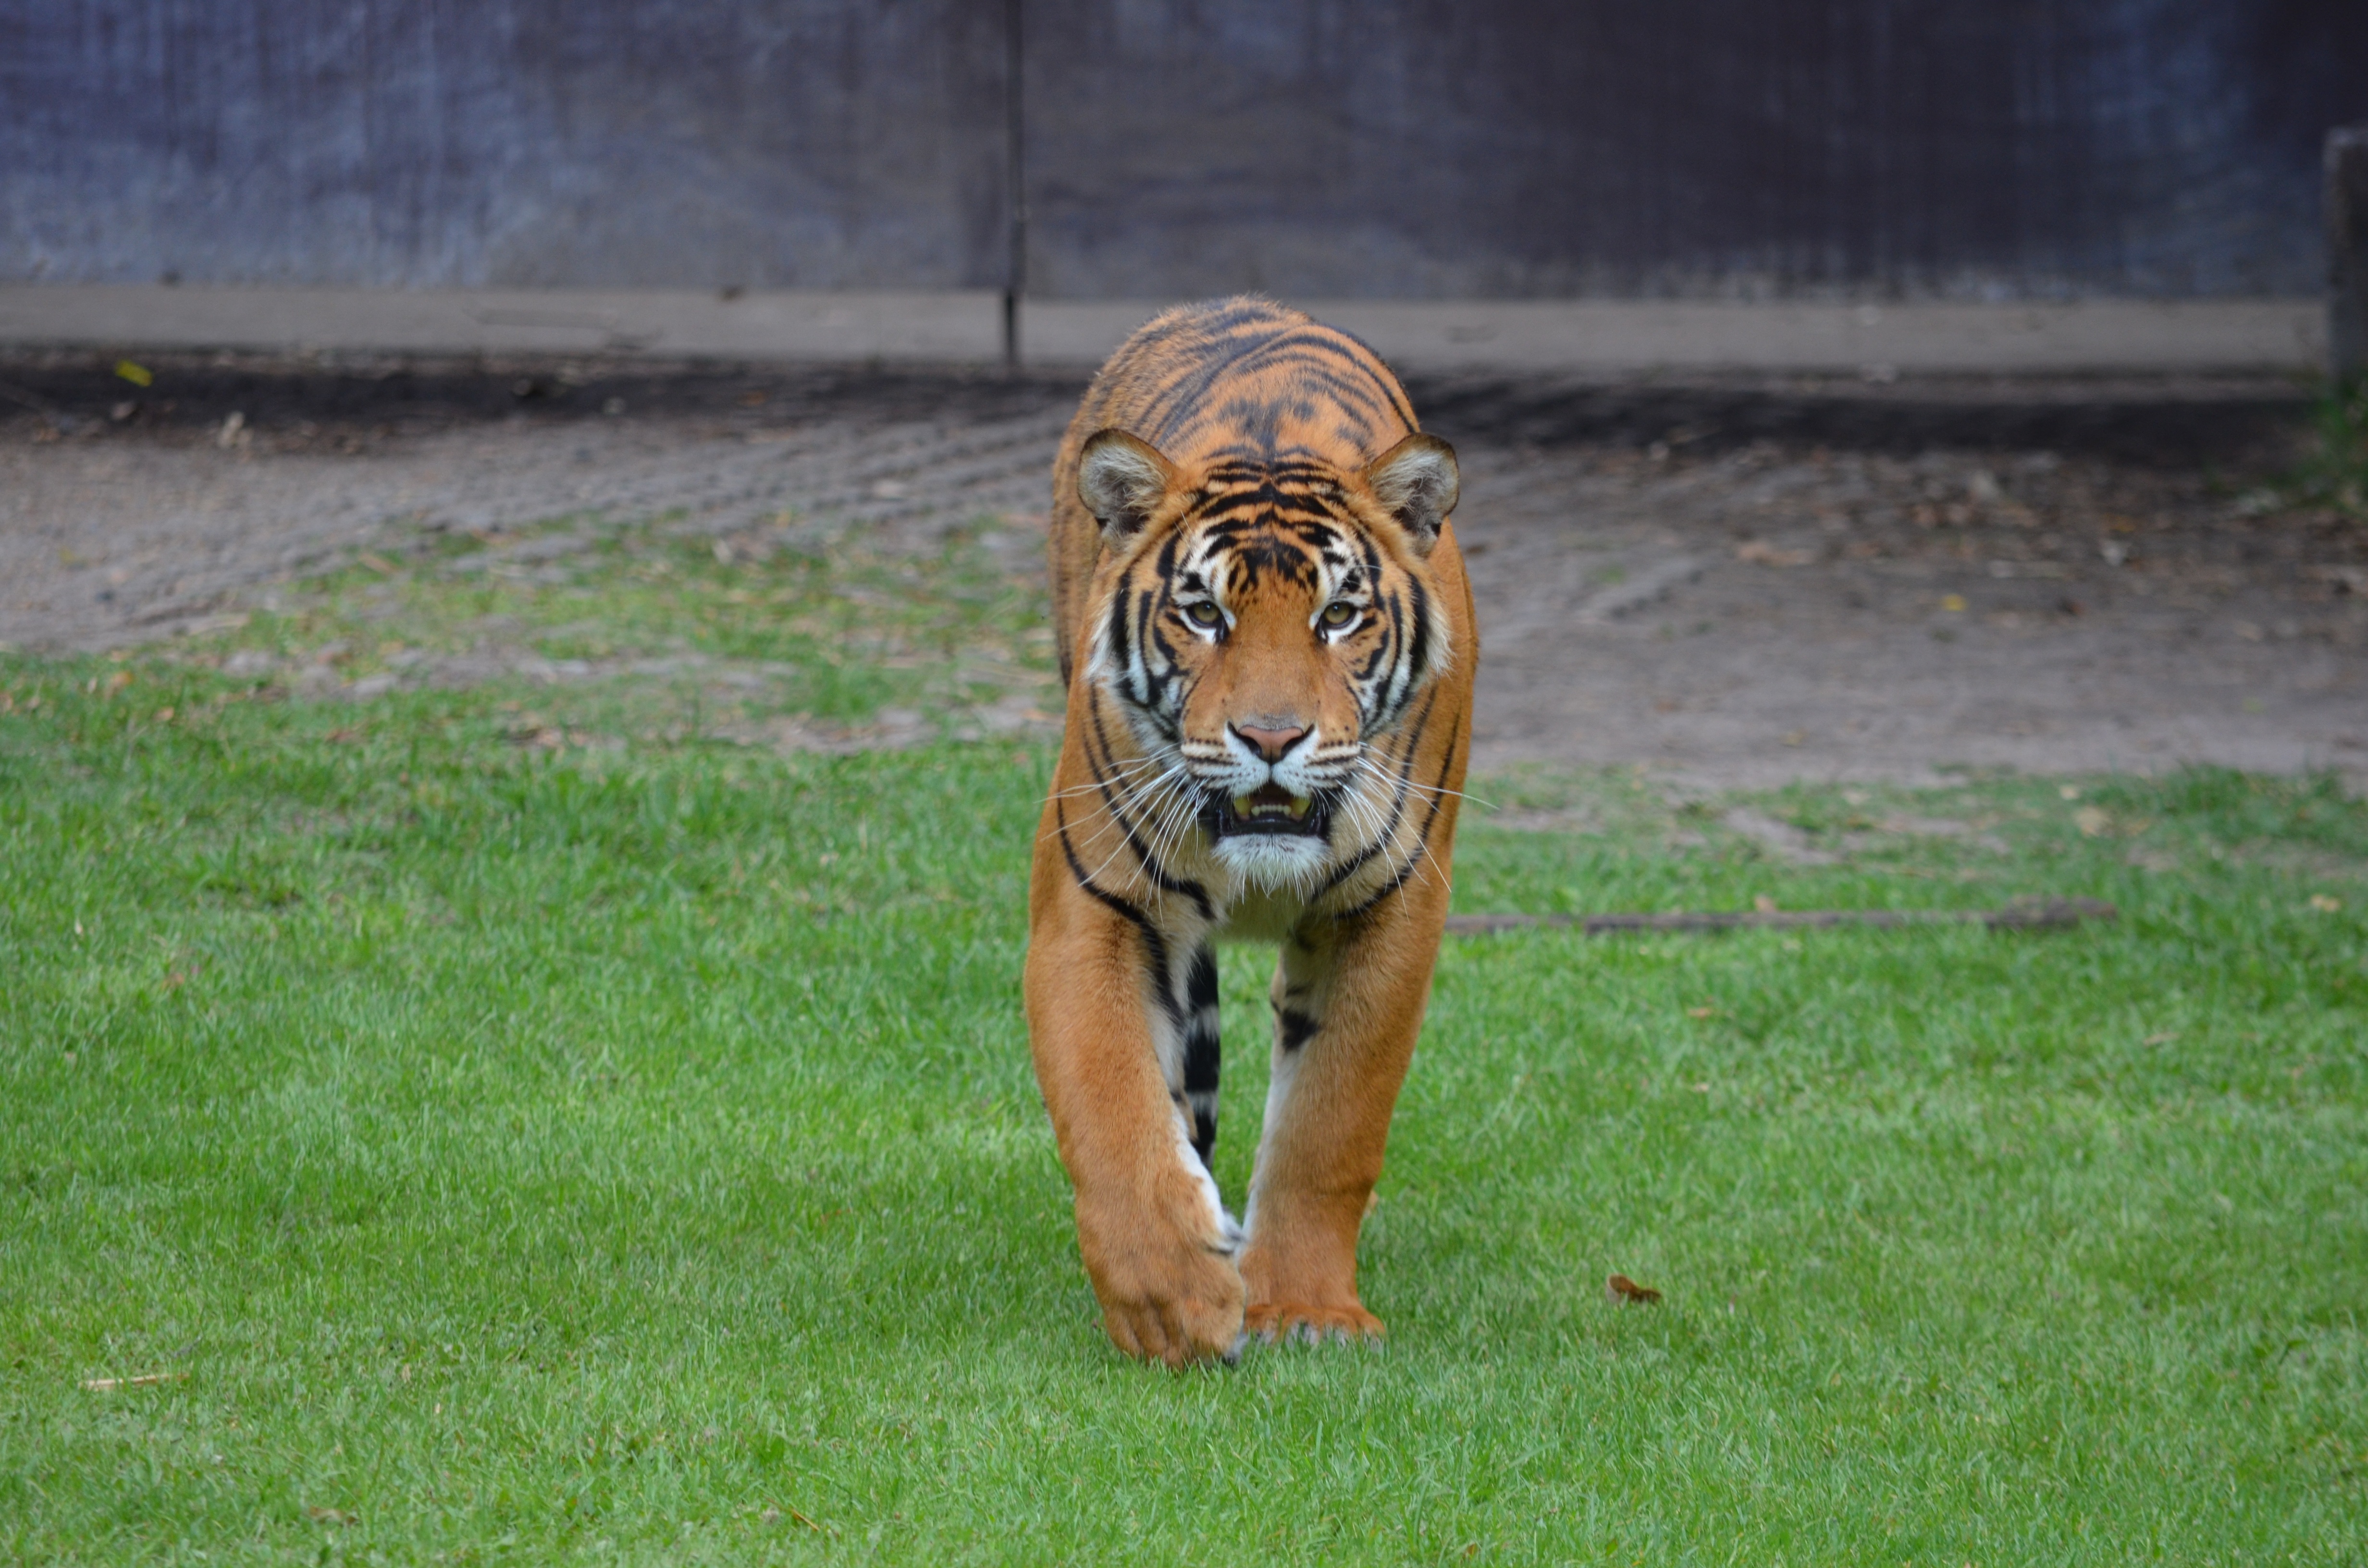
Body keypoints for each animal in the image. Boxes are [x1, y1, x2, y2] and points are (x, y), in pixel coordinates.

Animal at [1025, 296, 1478, 1366]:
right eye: (1202, 612)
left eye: (1339, 614)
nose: (1271, 738)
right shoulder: (1093, 903)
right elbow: (1112, 1109)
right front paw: (1173, 1299)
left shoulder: (1391, 909)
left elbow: (1331, 1122)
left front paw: (1306, 1308)